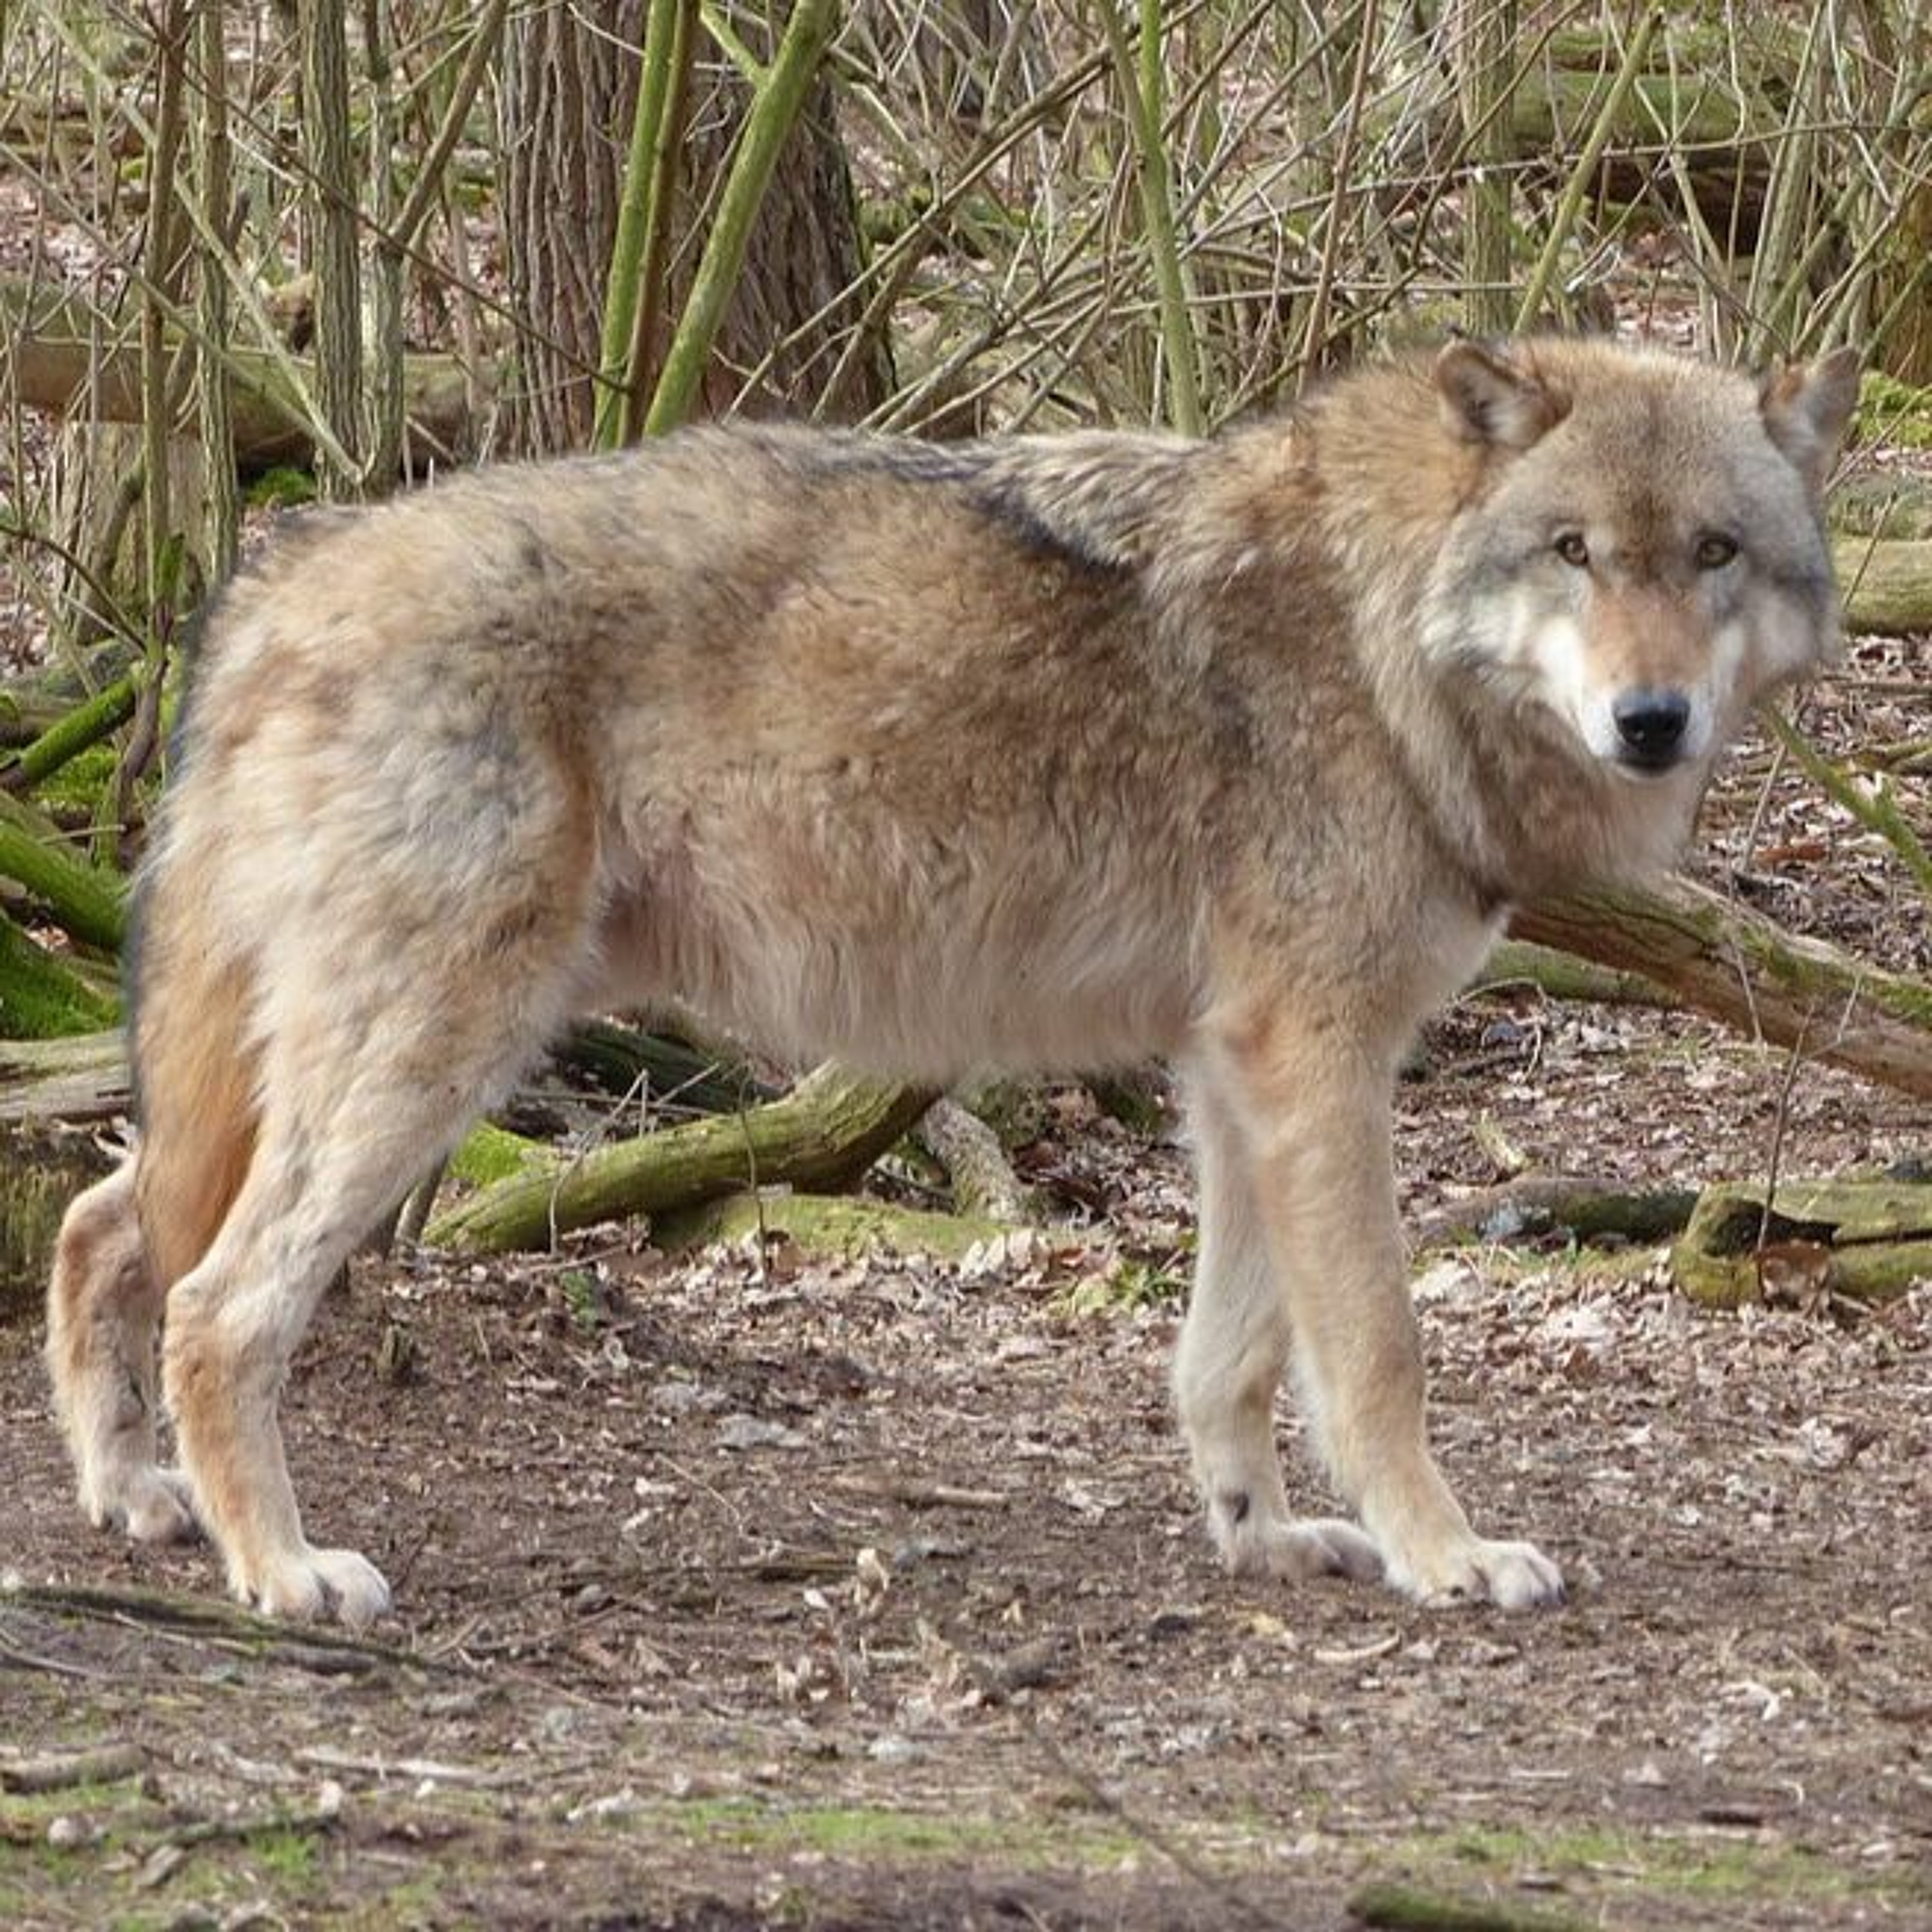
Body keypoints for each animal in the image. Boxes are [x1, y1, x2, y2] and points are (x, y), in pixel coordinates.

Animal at [45, 336, 1858, 1627]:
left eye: (1711, 552)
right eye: (1573, 551)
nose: (1650, 721)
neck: (1381, 628)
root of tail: (284, 569)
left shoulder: (1241, 1071)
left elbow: (1231, 1355)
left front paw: (1263, 1537)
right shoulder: (1319, 1056)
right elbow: (1375, 1350)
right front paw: (1449, 1556)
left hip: (295, 1074)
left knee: (100, 1220)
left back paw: (134, 1498)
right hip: (435, 1054)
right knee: (217, 1301)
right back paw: (282, 1573)